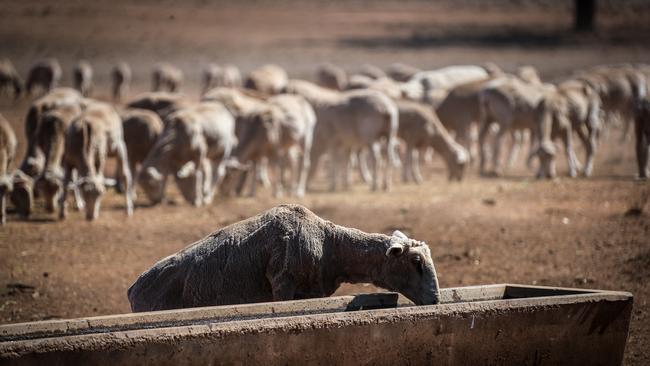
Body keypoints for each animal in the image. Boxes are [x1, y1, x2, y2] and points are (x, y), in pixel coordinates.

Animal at [126, 204, 440, 310]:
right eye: (416, 262)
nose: (435, 299)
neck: (331, 245)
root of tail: (133, 288)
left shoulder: (311, 292)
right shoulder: (283, 284)